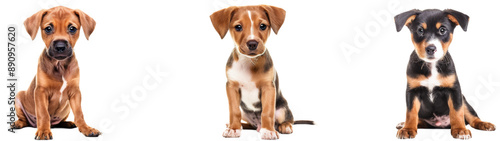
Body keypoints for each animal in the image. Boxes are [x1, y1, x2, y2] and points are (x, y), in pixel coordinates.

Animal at [12, 6, 100, 139]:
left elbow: (79, 113)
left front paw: (86, 128)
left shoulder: (75, 92)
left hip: (67, 107)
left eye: (72, 28)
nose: (60, 46)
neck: (60, 65)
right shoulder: (40, 91)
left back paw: (67, 123)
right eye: (48, 28)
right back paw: (18, 123)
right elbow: (43, 114)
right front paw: (43, 131)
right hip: (18, 96)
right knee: (24, 119)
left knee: (59, 122)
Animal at [211, 4, 312, 140]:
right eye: (238, 27)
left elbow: (267, 112)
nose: (252, 43)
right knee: (249, 123)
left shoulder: (268, 88)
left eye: (263, 26)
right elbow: (234, 111)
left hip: (282, 109)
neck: (248, 62)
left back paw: (284, 126)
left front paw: (268, 131)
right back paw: (239, 125)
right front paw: (233, 128)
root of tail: (258, 125)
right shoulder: (231, 87)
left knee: (288, 119)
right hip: (245, 112)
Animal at [394, 9, 496, 139]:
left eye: (442, 30)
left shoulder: (454, 90)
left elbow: (457, 112)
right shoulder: (412, 91)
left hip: (464, 101)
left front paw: (460, 130)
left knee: (472, 118)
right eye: (420, 30)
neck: (432, 65)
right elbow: (411, 113)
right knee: (420, 120)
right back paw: (404, 124)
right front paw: (407, 129)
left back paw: (484, 124)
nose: (431, 49)